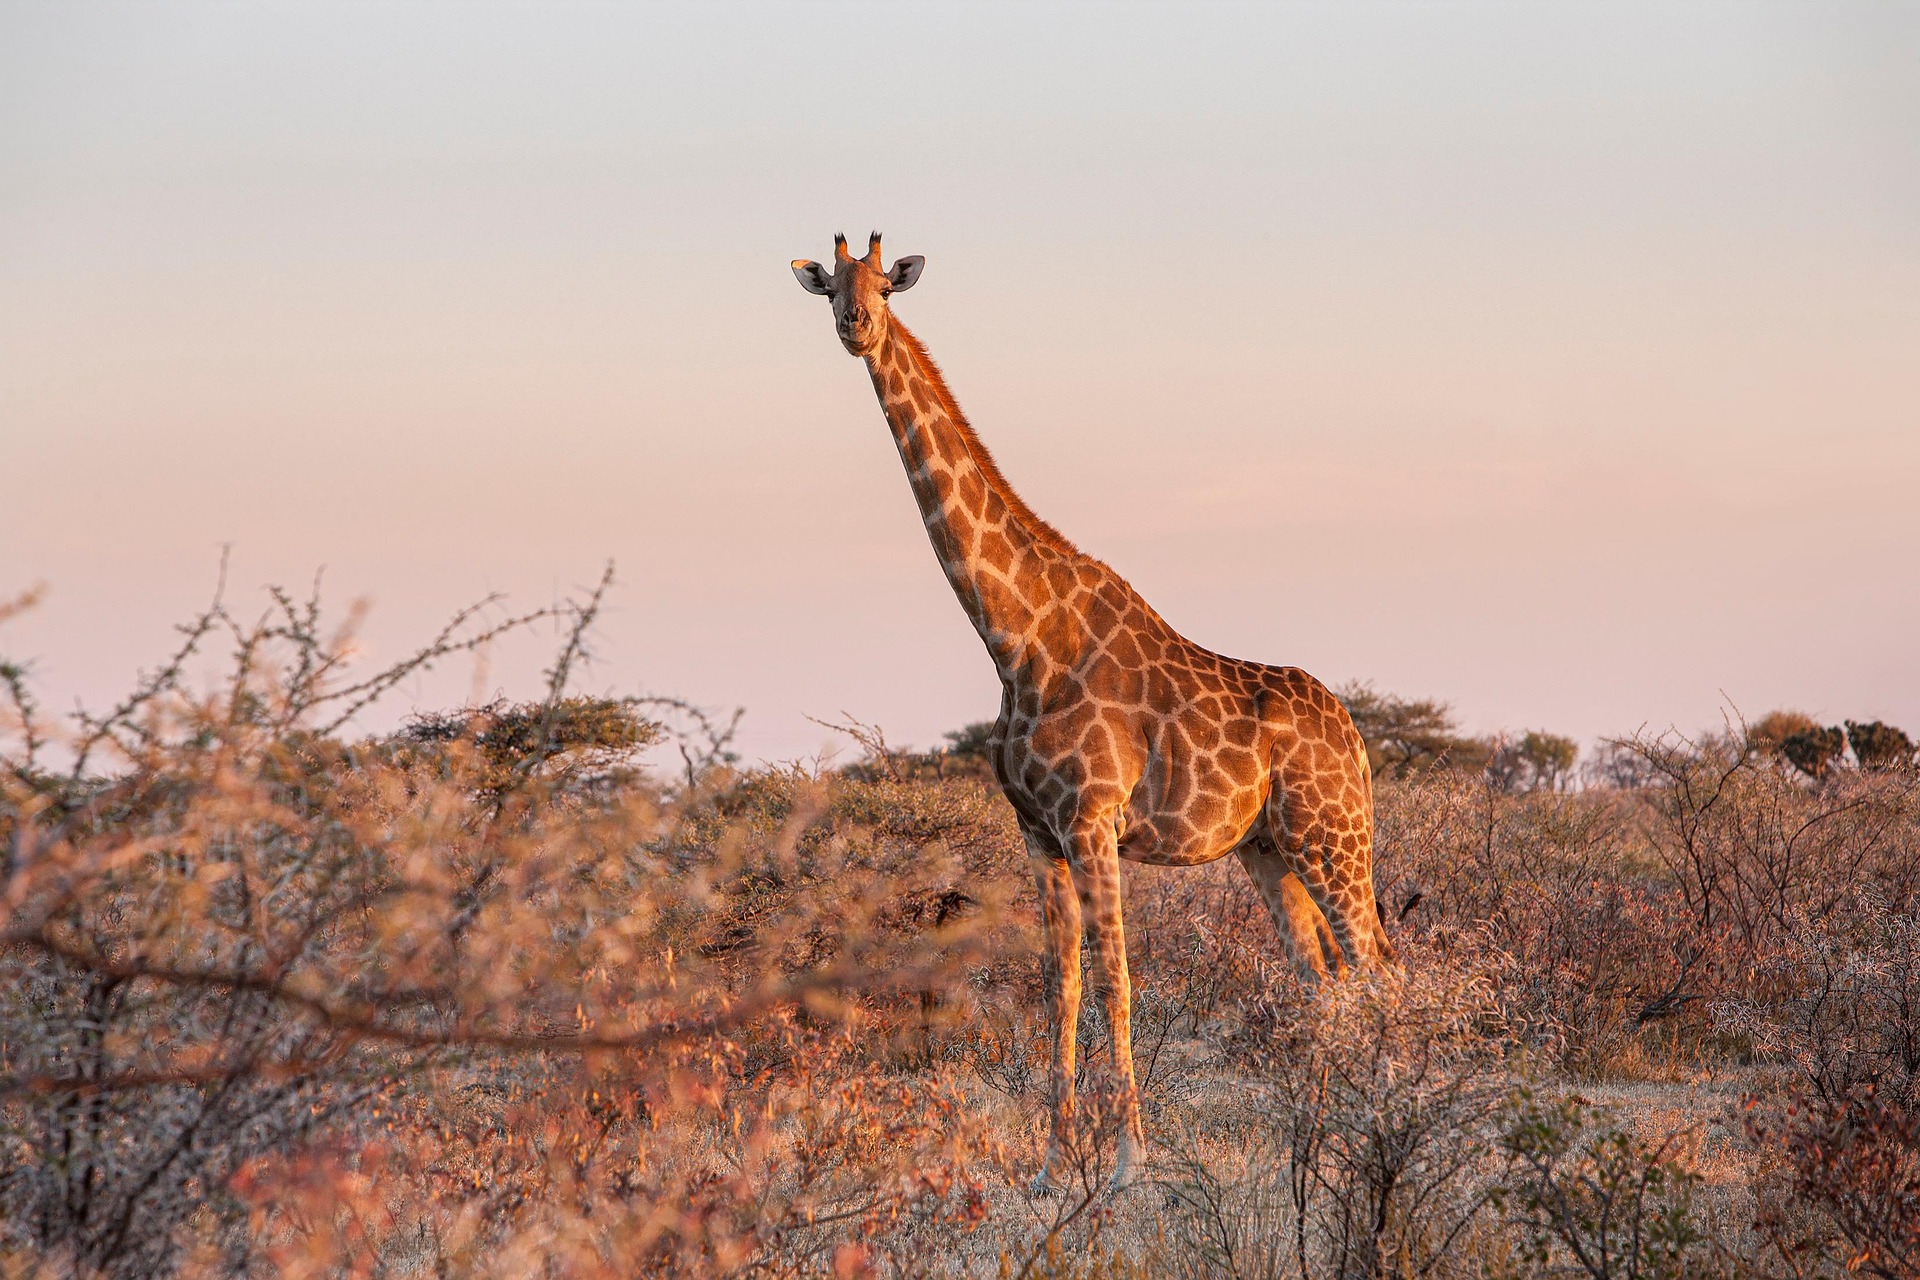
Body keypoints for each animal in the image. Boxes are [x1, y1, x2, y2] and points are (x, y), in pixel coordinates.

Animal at [787, 230, 1390, 1189]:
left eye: (884, 283)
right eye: (831, 285)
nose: (857, 325)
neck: (1017, 636)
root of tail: (1358, 740)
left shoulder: (1093, 819)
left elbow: (1116, 978)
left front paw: (1128, 1161)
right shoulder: (1037, 830)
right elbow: (1057, 982)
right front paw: (1051, 1160)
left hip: (1335, 837)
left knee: (1376, 969)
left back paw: (1390, 1123)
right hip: (1269, 849)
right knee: (1323, 976)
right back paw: (1324, 1139)